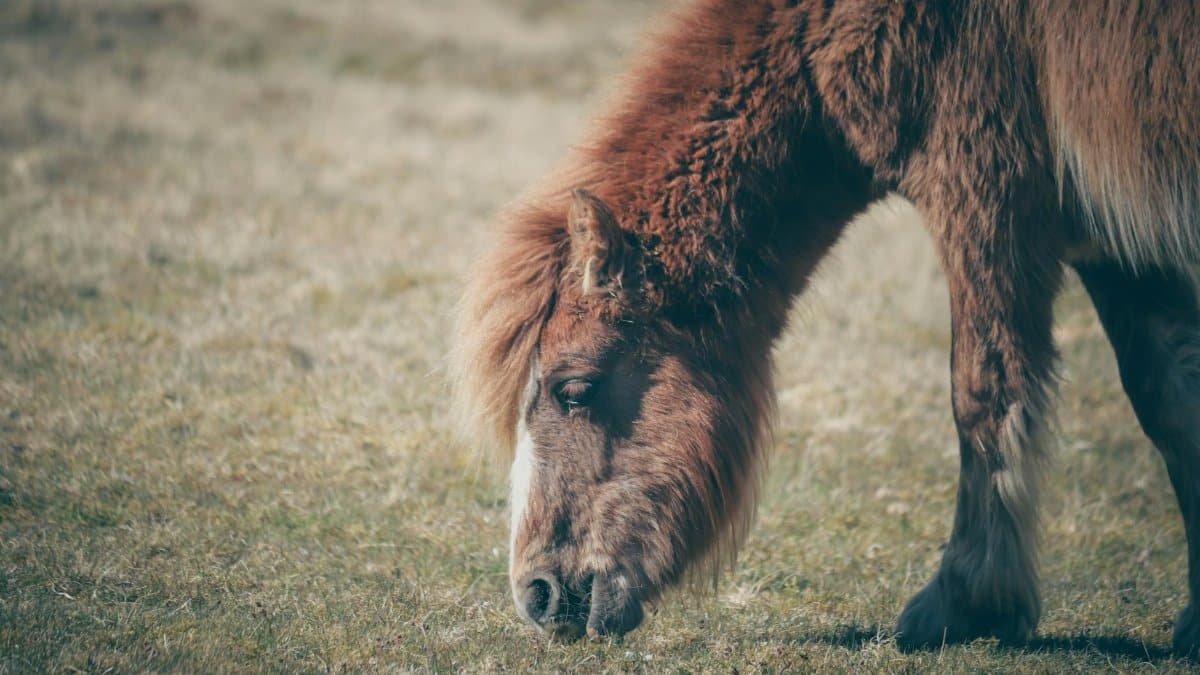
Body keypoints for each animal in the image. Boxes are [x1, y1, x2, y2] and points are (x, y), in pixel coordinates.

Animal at [451, 0, 1200, 654]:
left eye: (574, 389)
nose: (537, 593)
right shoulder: (1115, 230)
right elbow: (1169, 393)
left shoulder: (987, 198)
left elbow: (985, 395)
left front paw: (966, 602)